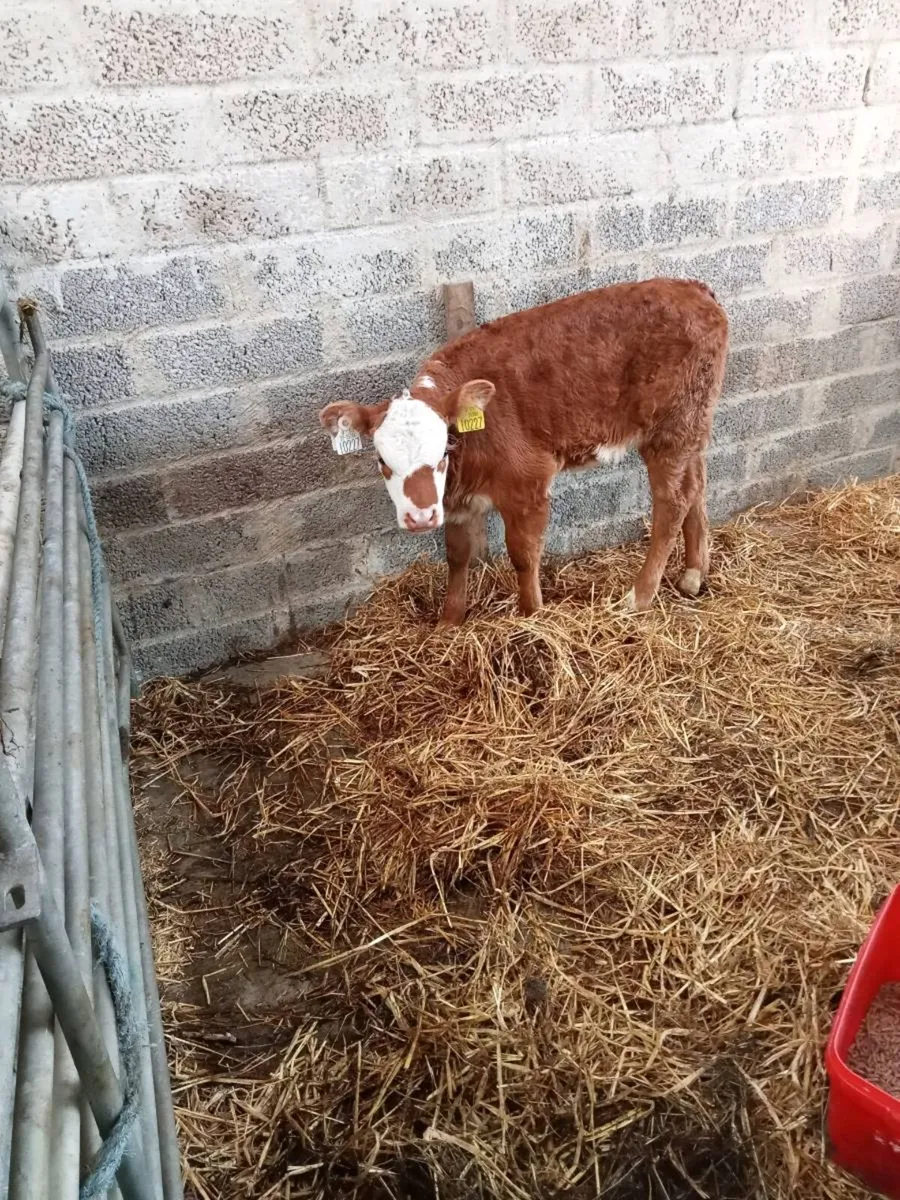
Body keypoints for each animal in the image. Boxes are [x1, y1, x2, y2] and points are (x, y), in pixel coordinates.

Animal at [319, 279, 729, 626]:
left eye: (442, 451)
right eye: (382, 461)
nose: (420, 517)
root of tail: (693, 289)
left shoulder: (526, 482)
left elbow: (523, 554)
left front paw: (531, 616)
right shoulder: (454, 500)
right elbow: (456, 554)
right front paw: (448, 622)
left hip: (669, 429)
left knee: (672, 502)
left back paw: (638, 597)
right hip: (692, 422)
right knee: (696, 485)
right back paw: (693, 574)